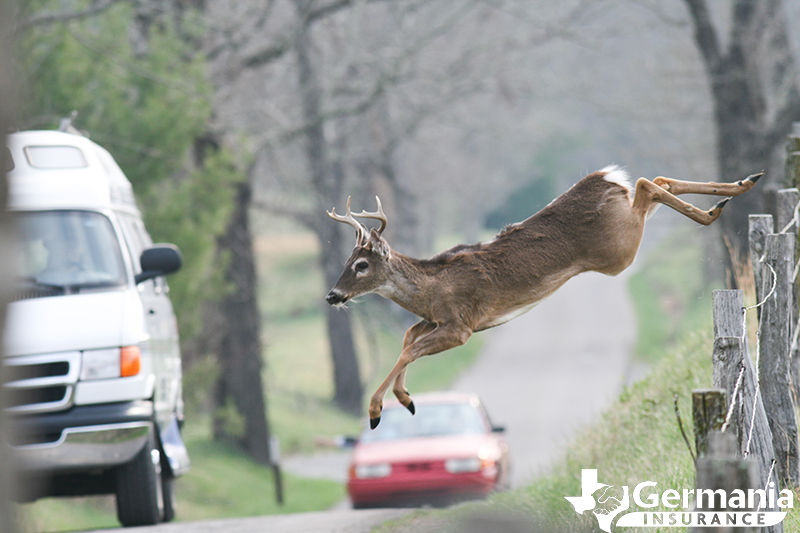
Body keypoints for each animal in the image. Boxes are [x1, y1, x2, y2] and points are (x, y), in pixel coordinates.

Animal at [324, 166, 764, 428]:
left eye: (360, 265)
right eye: (346, 260)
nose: (332, 295)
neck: (430, 288)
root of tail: (604, 178)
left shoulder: (460, 326)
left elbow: (409, 349)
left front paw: (377, 410)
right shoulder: (436, 320)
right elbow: (407, 339)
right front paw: (406, 398)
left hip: (619, 250)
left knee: (646, 185)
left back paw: (716, 207)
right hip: (624, 234)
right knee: (657, 181)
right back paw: (740, 186)